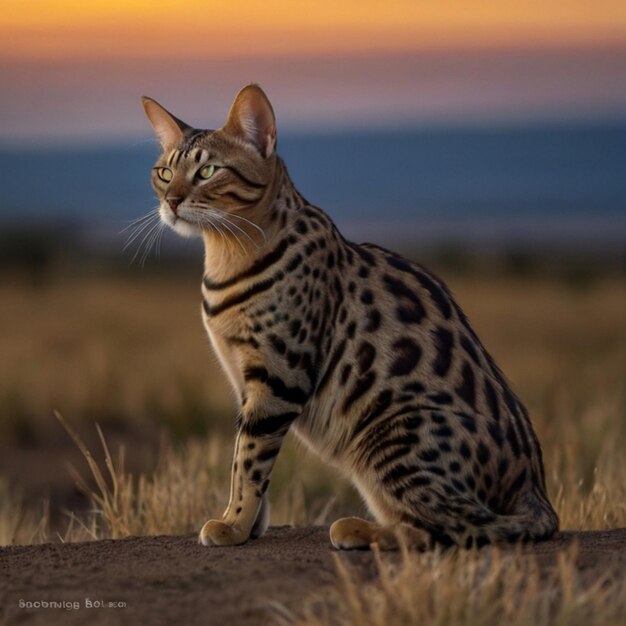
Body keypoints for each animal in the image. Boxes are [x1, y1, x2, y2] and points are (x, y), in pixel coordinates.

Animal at [140, 84, 556, 544]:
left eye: (209, 171)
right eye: (164, 173)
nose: (172, 202)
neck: (226, 255)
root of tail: (539, 494)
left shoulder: (279, 375)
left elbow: (247, 460)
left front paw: (232, 525)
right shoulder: (244, 380)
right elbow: (248, 459)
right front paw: (248, 525)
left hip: (389, 434)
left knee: (455, 526)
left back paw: (364, 530)